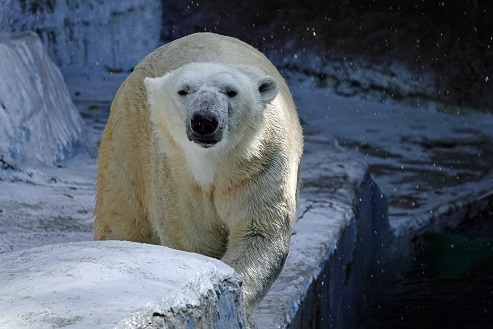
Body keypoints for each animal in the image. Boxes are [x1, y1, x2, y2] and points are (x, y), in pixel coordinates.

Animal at [91, 32, 300, 312]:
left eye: (231, 92)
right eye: (183, 90)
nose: (204, 121)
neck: (215, 163)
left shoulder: (261, 166)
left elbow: (259, 232)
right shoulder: (178, 176)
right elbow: (193, 239)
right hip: (129, 134)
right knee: (122, 210)